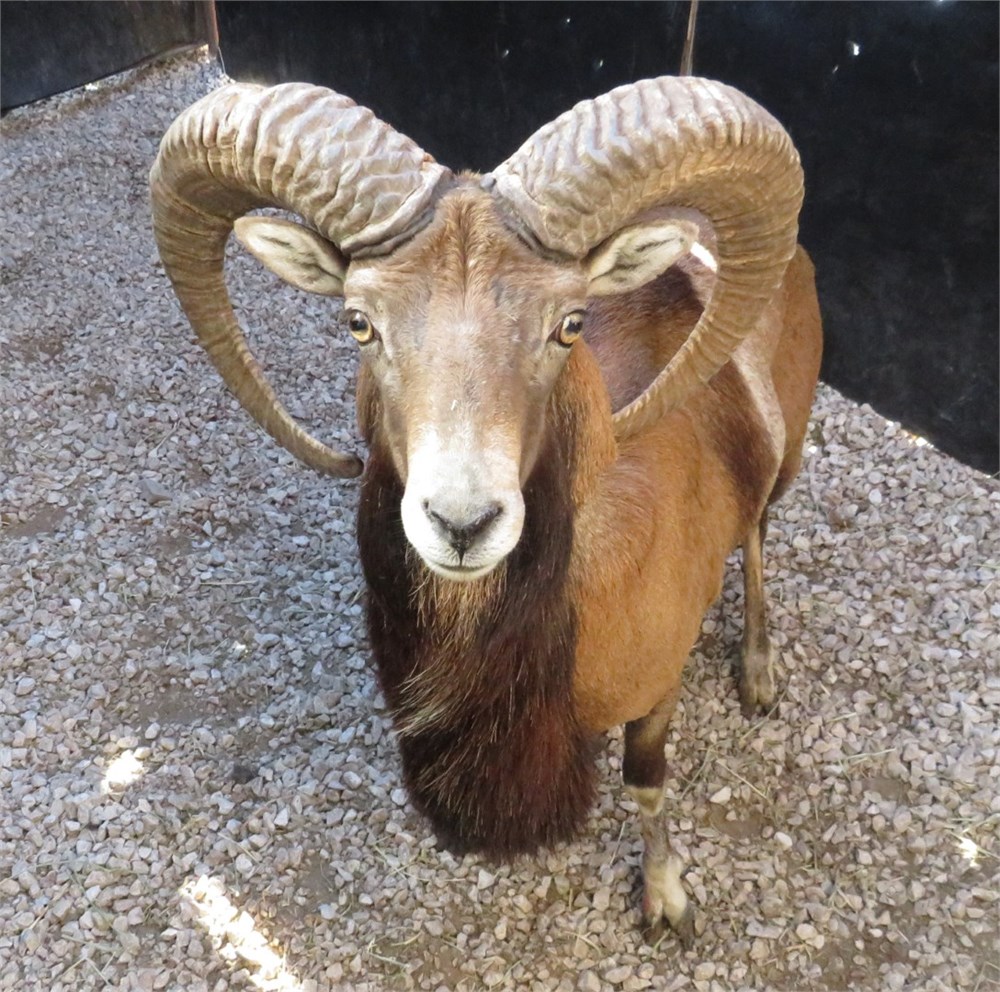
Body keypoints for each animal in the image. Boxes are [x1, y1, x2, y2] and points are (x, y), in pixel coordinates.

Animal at [150, 75, 822, 943]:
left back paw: (758, 675)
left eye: (570, 324)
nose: (462, 525)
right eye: (359, 322)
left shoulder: (657, 693)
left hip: (790, 460)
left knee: (761, 538)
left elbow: (646, 783)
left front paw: (665, 903)